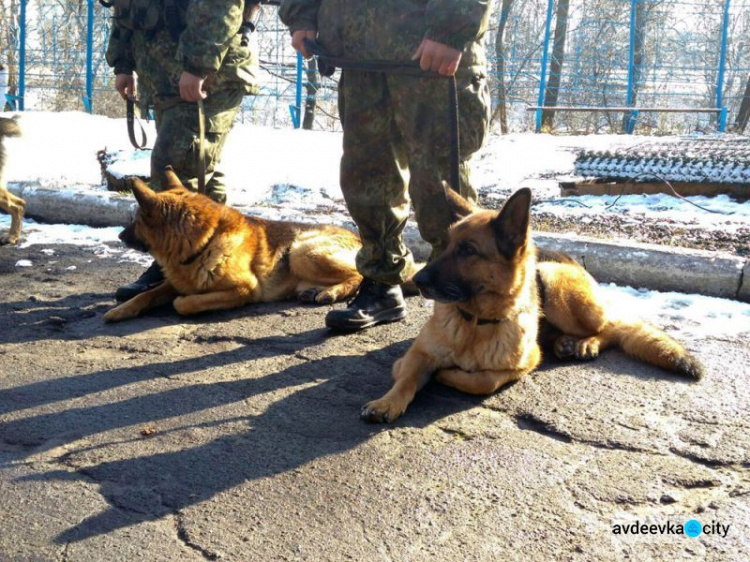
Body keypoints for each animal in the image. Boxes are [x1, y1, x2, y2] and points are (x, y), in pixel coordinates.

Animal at [103, 168, 364, 322]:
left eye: (136, 221)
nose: (119, 236)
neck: (204, 244)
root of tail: (358, 237)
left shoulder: (245, 289)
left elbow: (187, 303)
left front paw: (181, 301)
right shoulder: (174, 282)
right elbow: (146, 294)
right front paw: (120, 310)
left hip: (301, 251)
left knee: (359, 276)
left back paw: (331, 292)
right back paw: (316, 290)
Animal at [362, 186, 708, 422]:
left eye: (468, 250)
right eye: (445, 246)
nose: (417, 280)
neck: (474, 323)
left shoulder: (524, 363)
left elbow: (484, 380)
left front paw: (447, 375)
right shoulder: (415, 356)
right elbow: (406, 379)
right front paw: (387, 402)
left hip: (554, 282)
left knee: (611, 327)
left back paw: (586, 343)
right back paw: (564, 343)